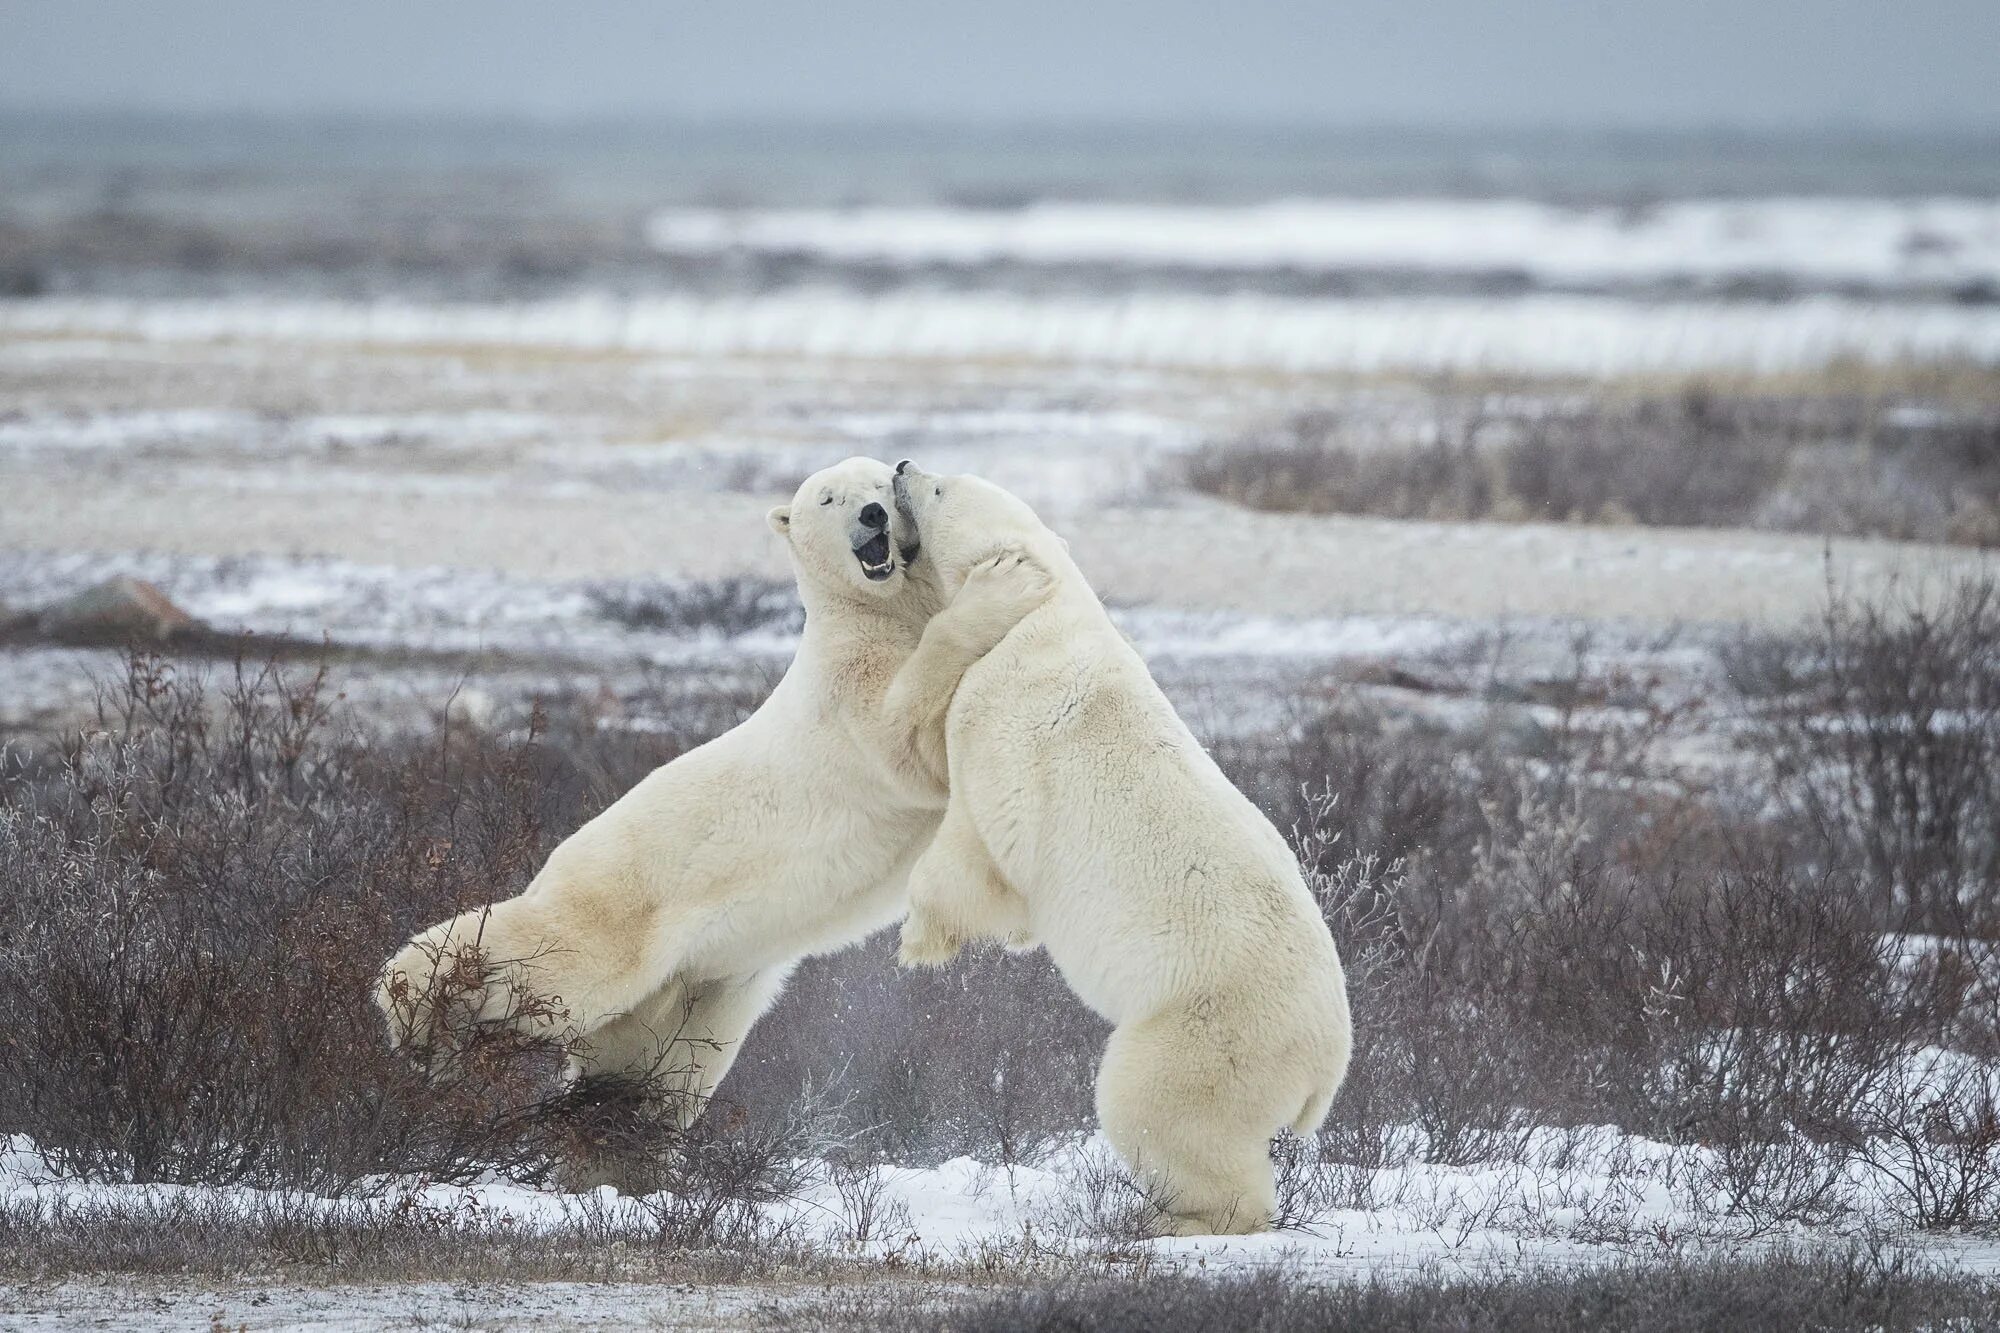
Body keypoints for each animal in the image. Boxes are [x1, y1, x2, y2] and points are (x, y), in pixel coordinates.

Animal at [380, 456, 1056, 1120]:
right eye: (829, 499)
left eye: (878, 484)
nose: (873, 515)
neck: (878, 612)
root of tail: (554, 860)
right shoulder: (848, 688)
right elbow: (909, 738)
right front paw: (1007, 585)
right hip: (628, 903)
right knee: (555, 959)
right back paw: (411, 999)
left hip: (701, 992)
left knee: (660, 1074)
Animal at [900, 460, 1352, 1232]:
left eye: (940, 490)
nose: (902, 468)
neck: (1048, 609)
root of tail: (1327, 1067)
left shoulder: (1004, 716)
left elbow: (978, 840)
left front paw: (920, 938)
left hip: (1209, 1027)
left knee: (1152, 1106)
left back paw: (1180, 1218)